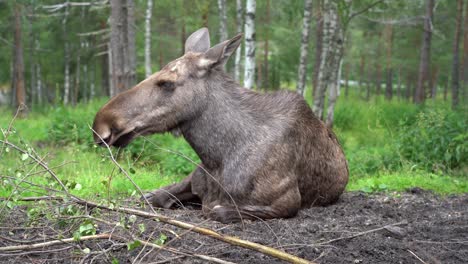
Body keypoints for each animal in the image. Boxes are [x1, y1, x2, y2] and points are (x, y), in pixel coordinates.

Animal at [92, 27, 348, 223]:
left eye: (166, 83)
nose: (101, 124)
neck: (217, 157)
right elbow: (159, 195)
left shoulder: (286, 203)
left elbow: (215, 210)